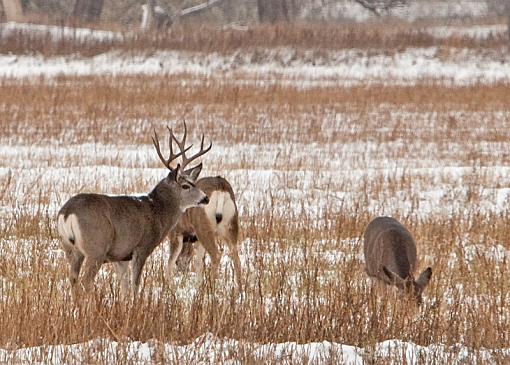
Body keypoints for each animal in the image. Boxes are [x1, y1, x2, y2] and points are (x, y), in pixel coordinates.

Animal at [56, 125, 212, 296]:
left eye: (194, 182)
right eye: (185, 186)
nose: (206, 198)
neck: (158, 212)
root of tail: (67, 212)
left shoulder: (121, 256)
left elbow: (124, 287)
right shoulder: (142, 247)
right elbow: (135, 285)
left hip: (69, 247)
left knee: (73, 279)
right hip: (96, 247)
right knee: (86, 281)